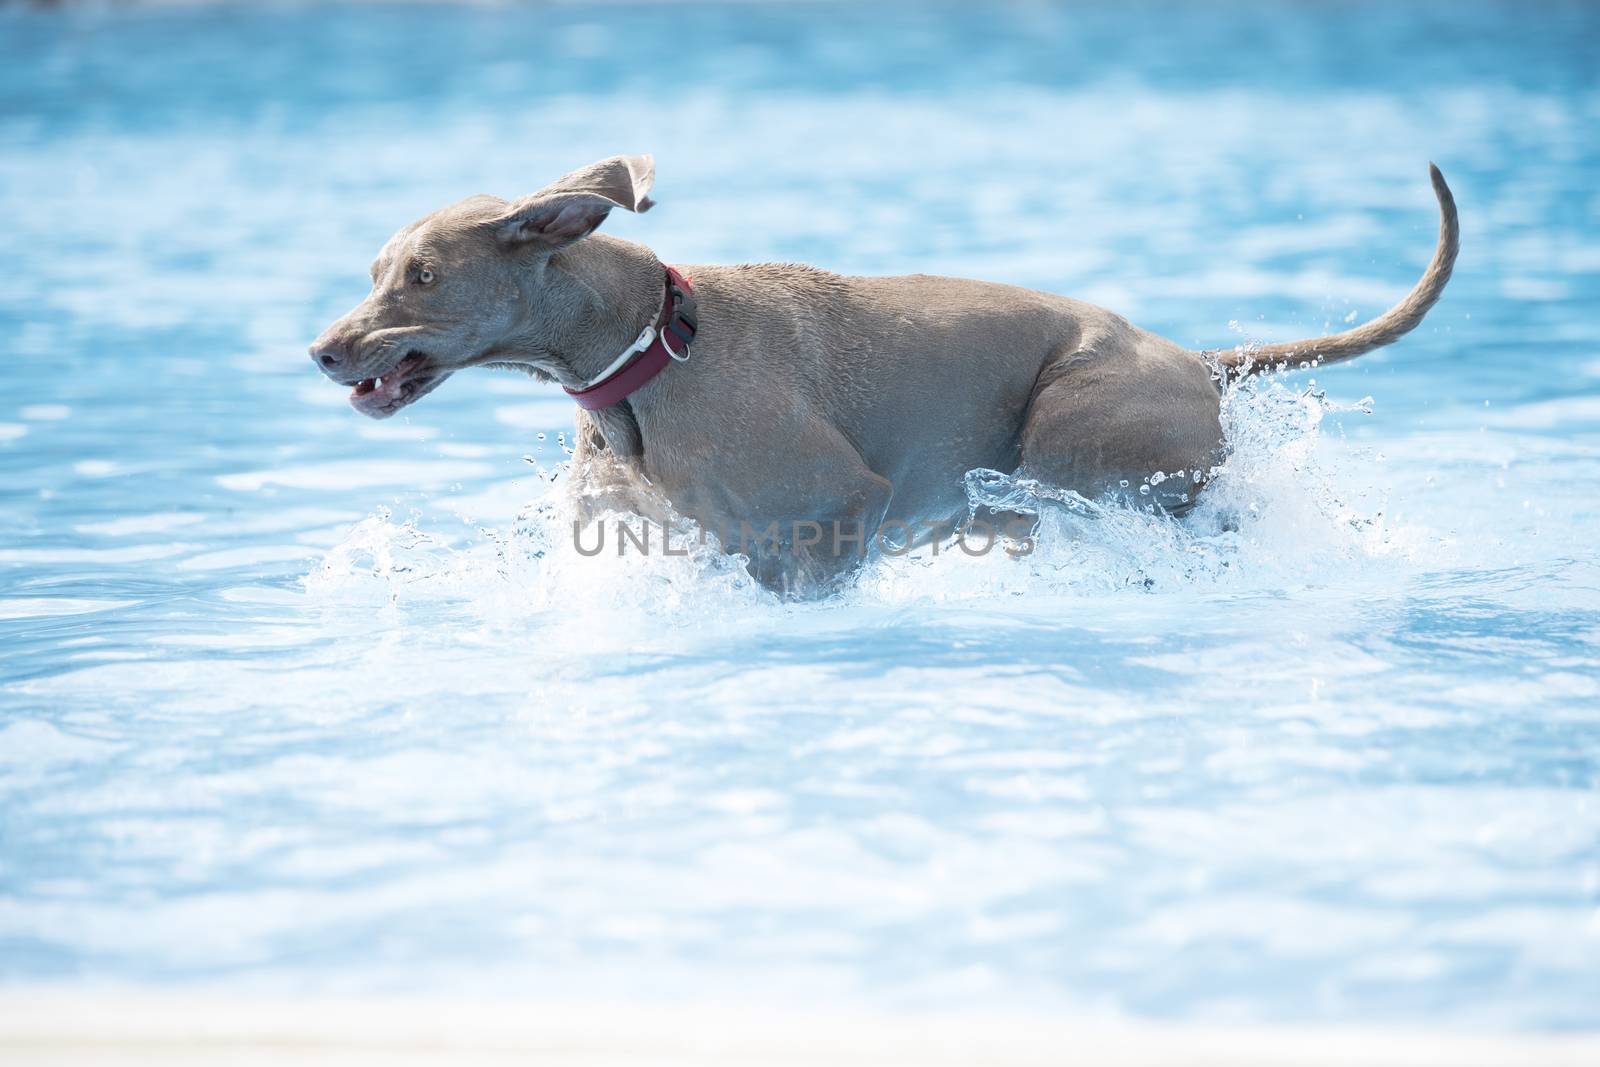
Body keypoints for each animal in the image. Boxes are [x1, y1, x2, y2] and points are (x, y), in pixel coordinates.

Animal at [312, 155, 1465, 598]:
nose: (322, 350)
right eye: (374, 271)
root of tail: (1196, 358)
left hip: (1077, 444)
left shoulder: (832, 509)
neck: (647, 346)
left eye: (421, 275)